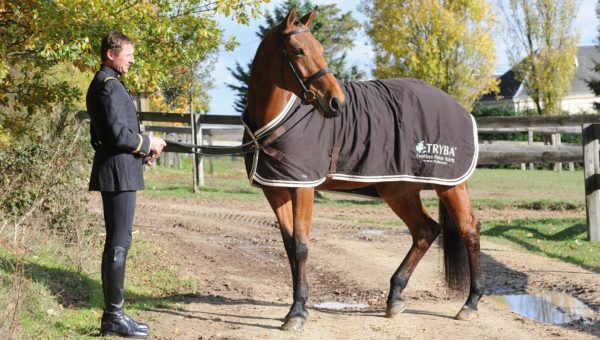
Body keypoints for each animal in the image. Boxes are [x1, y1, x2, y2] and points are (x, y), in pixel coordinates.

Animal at [241, 7, 480, 332]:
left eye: (320, 48)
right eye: (299, 50)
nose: (336, 103)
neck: (278, 119)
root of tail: (458, 108)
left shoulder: (303, 188)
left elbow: (302, 246)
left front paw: (297, 313)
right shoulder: (275, 189)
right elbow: (290, 246)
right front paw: (296, 307)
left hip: (449, 184)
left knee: (469, 230)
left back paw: (470, 303)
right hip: (399, 189)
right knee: (425, 230)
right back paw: (395, 297)